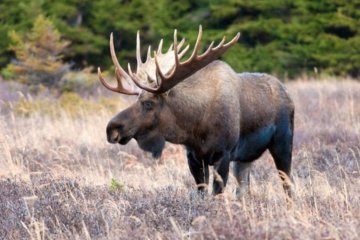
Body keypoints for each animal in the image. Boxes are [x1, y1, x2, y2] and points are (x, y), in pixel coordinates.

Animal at [97, 26, 294, 199]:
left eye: (148, 103)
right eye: (136, 100)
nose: (111, 128)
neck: (196, 127)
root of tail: (287, 93)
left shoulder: (223, 154)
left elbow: (217, 194)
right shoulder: (194, 156)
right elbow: (201, 193)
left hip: (283, 143)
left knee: (288, 184)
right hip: (245, 158)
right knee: (243, 190)